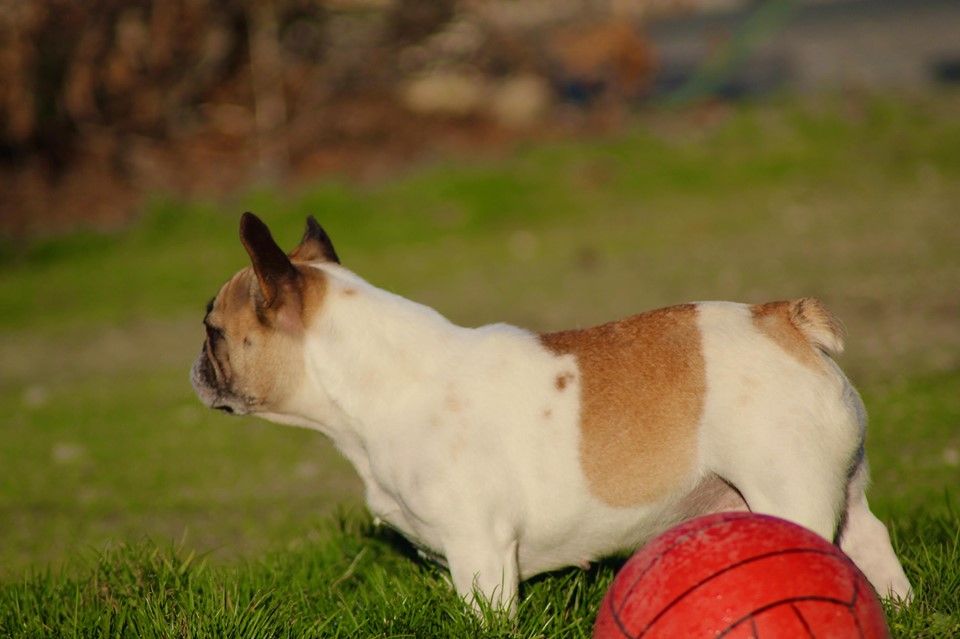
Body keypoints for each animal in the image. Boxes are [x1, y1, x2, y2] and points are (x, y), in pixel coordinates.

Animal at [191, 215, 912, 616]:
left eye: (212, 329)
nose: (195, 367)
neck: (376, 377)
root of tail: (783, 319)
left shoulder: (480, 551)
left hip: (787, 489)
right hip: (844, 486)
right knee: (872, 541)